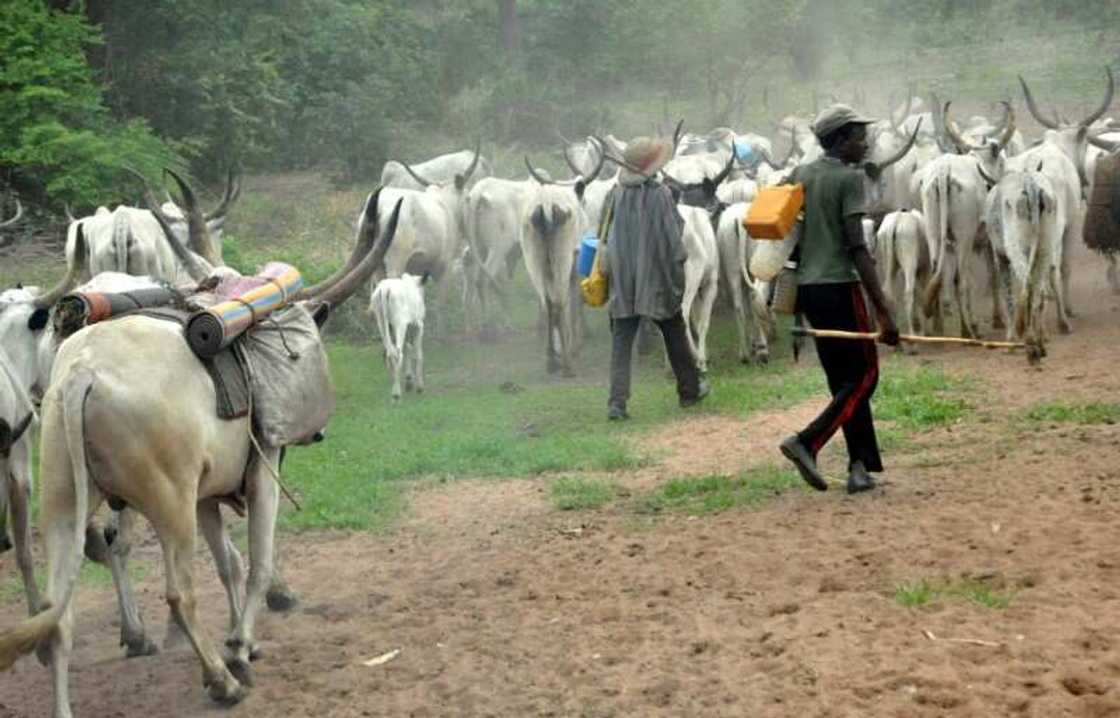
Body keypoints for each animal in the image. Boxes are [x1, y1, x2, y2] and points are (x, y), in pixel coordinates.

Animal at [374, 271, 430, 401]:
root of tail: (385, 289)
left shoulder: (408, 326)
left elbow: (408, 348)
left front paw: (409, 380)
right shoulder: (419, 325)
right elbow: (418, 354)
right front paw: (419, 387)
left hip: (382, 322)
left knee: (390, 353)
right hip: (400, 324)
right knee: (398, 354)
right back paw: (396, 395)